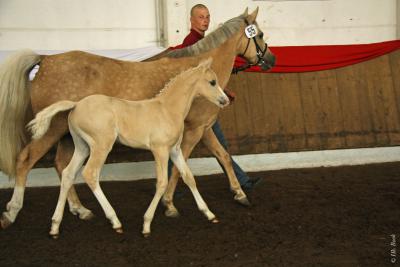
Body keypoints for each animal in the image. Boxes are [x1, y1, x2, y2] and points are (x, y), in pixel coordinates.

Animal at [28, 59, 228, 239]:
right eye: (212, 82)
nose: (225, 100)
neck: (167, 110)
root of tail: (76, 105)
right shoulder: (160, 150)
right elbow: (162, 182)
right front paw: (146, 225)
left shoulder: (175, 150)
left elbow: (189, 177)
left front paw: (209, 214)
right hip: (101, 145)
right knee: (90, 174)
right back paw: (115, 221)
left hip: (82, 146)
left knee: (68, 174)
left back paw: (55, 226)